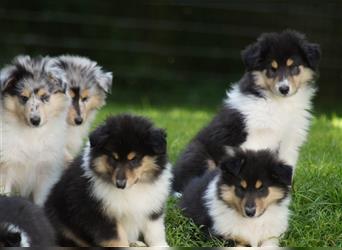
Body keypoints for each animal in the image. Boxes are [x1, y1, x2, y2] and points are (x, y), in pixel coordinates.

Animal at [0, 55, 70, 205]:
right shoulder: (5, 168)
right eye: (23, 98)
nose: (35, 121)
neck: (32, 134)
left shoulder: (46, 173)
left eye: (45, 97)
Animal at [45, 114, 172, 247]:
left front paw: (162, 246)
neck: (131, 189)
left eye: (134, 159)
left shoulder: (152, 209)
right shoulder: (100, 214)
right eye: (113, 158)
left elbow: (155, 232)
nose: (120, 184)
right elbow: (118, 239)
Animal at [174, 29, 320, 193]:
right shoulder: (256, 138)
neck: (279, 103)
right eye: (271, 69)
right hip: (199, 154)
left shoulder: (290, 141)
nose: (284, 89)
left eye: (293, 67)